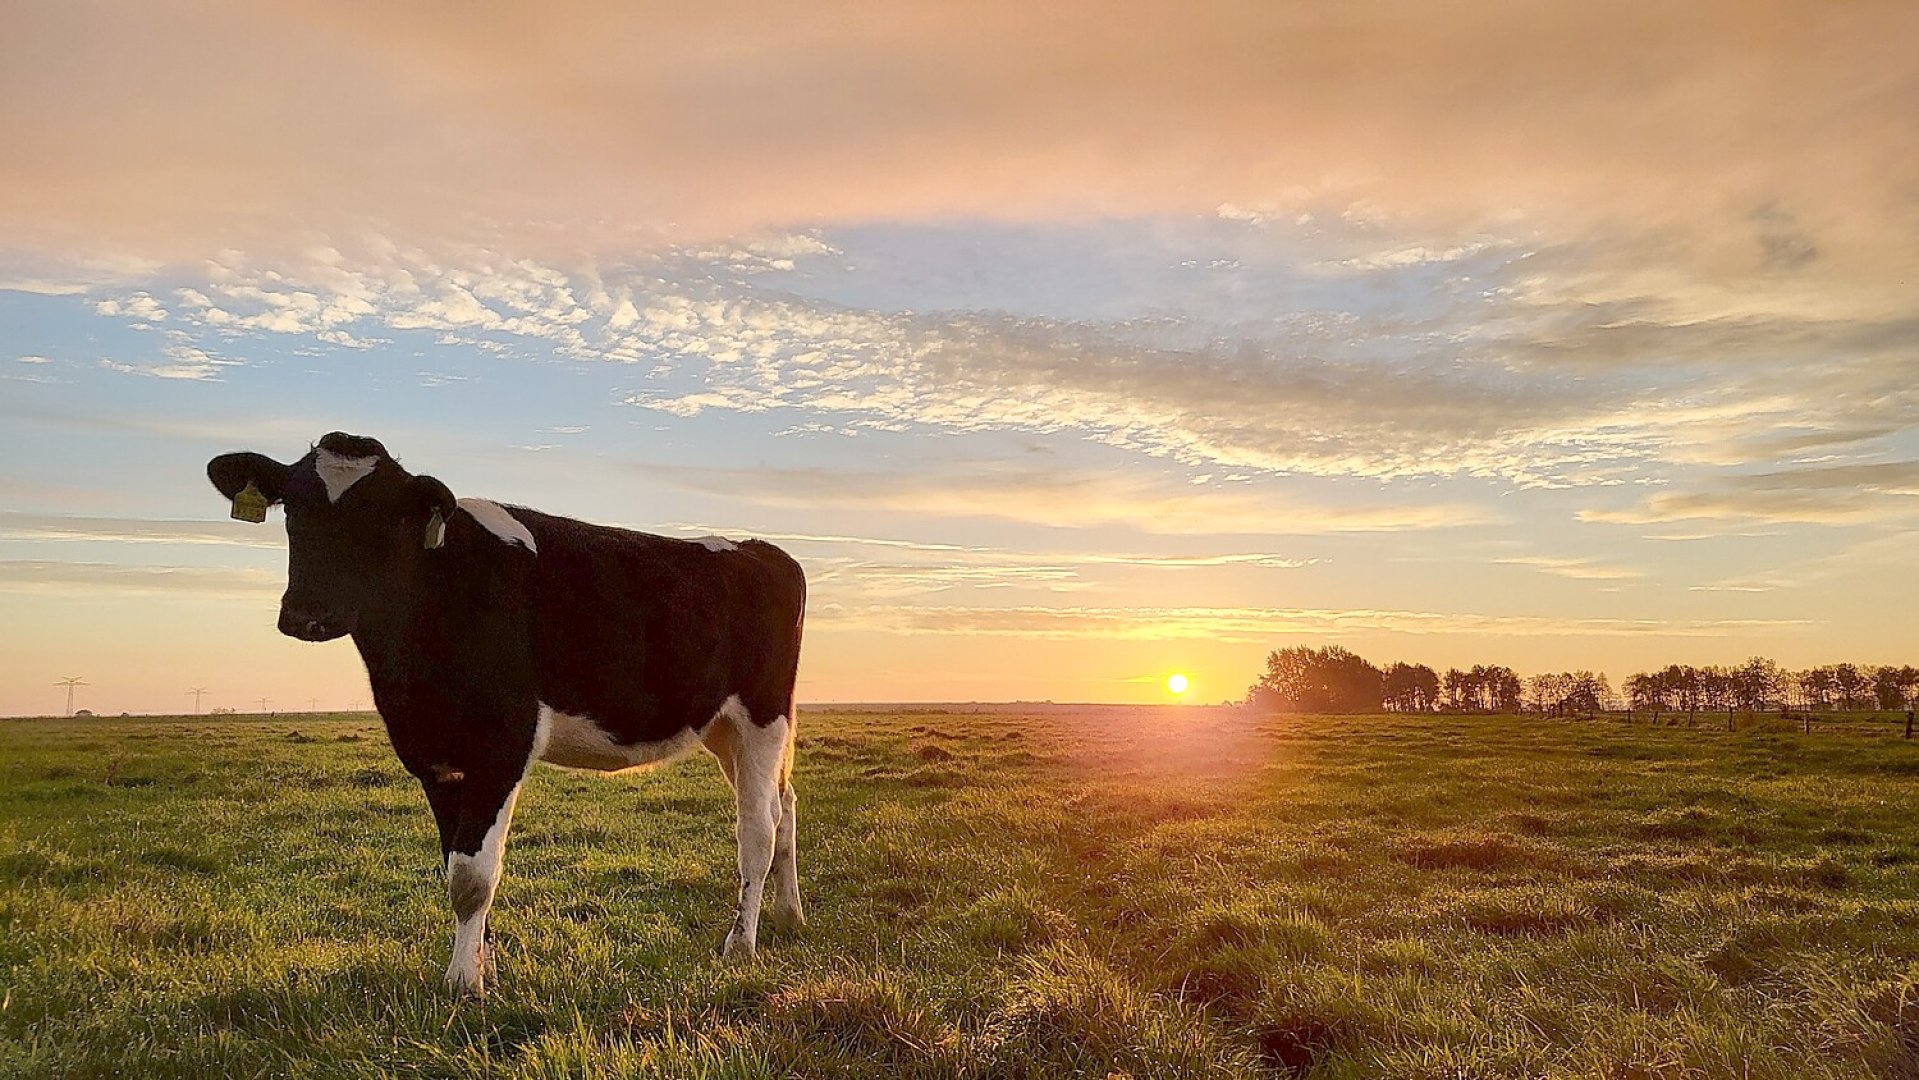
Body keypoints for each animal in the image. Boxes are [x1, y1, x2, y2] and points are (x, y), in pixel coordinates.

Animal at [206, 431, 805, 997]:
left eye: (384, 515)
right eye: (293, 507)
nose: (309, 615)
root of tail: (759, 549)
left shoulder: (503, 742)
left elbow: (473, 876)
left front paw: (462, 984)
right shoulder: (435, 756)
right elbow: (454, 862)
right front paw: (483, 967)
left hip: (762, 716)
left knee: (757, 828)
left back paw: (741, 944)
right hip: (722, 729)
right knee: (786, 806)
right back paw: (790, 916)